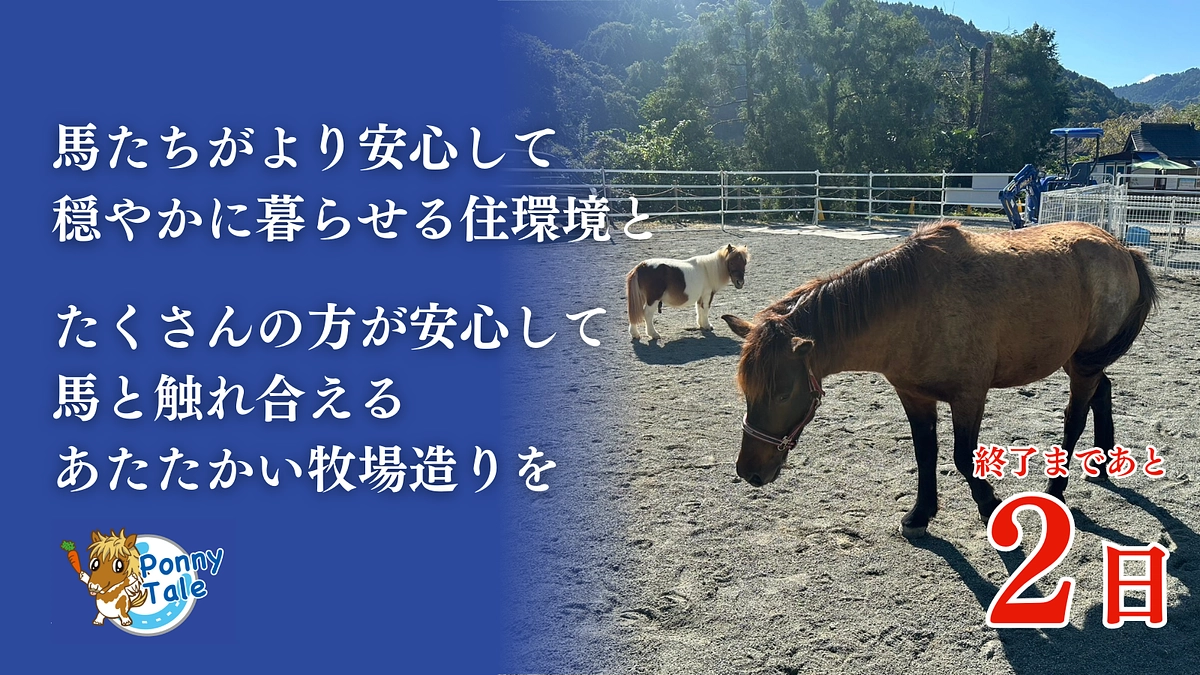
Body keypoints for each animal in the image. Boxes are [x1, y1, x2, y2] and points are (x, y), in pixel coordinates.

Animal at [721, 221, 1156, 537]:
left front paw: (989, 504)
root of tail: (1122, 248)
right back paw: (1103, 462)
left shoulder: (970, 397)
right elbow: (925, 454)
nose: (749, 472)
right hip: (1078, 359)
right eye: (746, 392)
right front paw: (920, 514)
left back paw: (1056, 490)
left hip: (1083, 362)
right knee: (1104, 391)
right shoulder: (914, 396)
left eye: (783, 393)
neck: (914, 307)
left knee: (1075, 418)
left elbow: (963, 458)